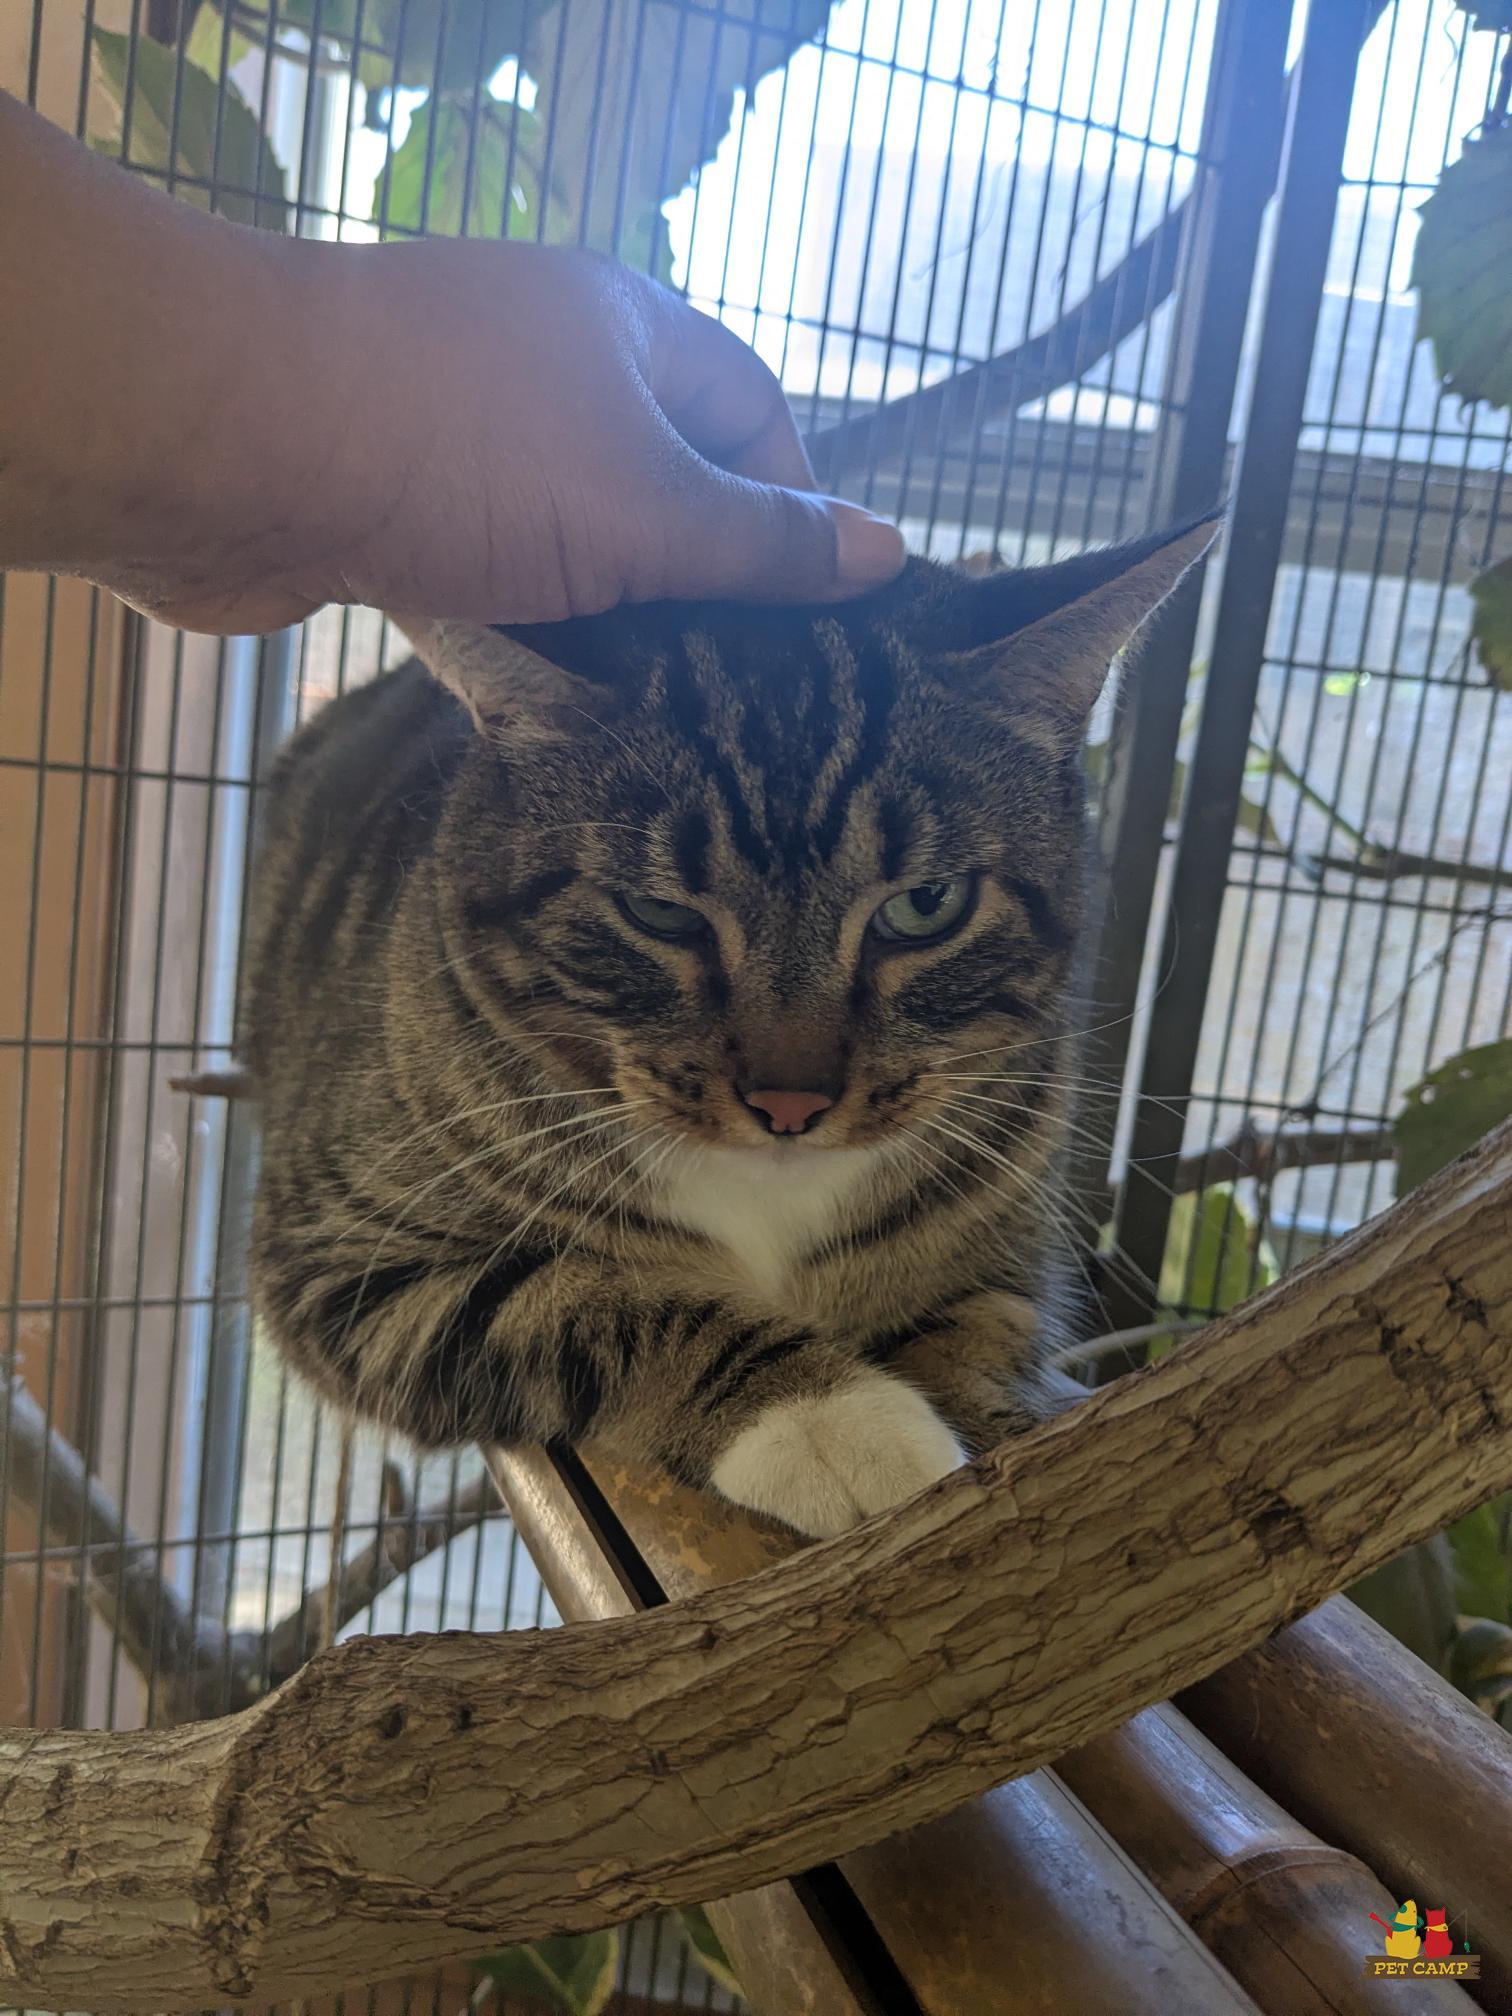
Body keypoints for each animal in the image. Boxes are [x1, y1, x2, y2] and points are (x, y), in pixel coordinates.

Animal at [240, 515, 1215, 1537]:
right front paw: (829, 1418)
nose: (790, 1102)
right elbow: (578, 1298)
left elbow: (977, 1329)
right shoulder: (345, 1252)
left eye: (927, 904)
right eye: (658, 913)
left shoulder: (1007, 1233)